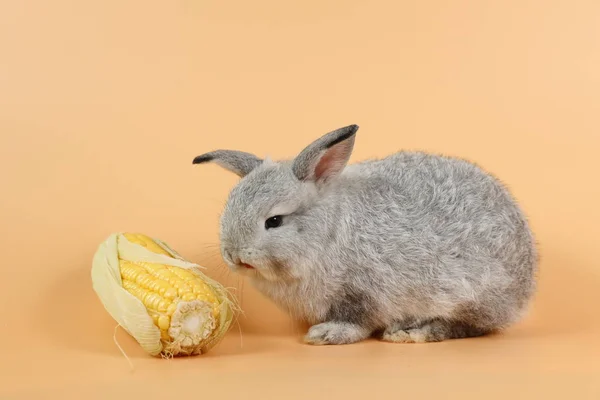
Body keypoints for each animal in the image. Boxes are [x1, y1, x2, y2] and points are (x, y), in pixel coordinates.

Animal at [193, 124, 540, 344]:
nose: (233, 254)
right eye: (229, 208)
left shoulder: (364, 292)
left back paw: (411, 333)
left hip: (472, 294)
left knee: (470, 326)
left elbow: (356, 320)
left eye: (274, 221)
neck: (327, 235)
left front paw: (327, 335)